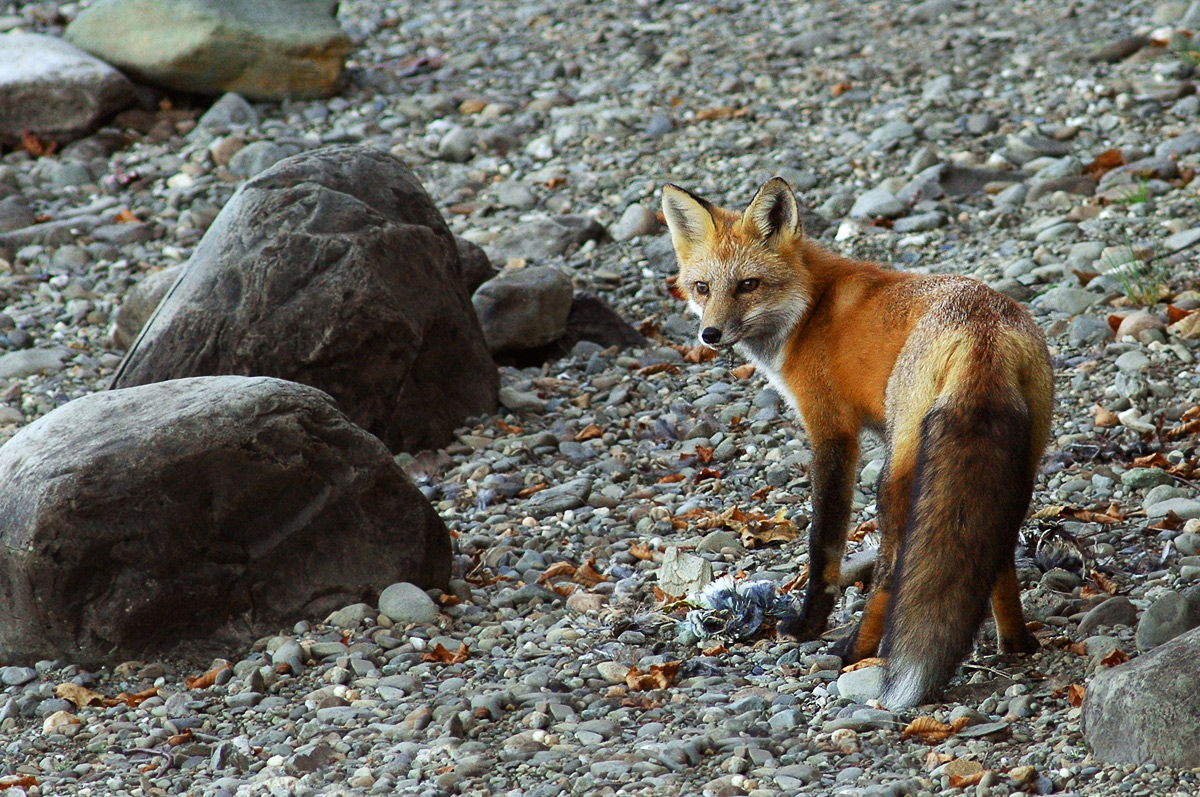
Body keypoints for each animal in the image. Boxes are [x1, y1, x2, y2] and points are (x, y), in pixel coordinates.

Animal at [661, 177, 1053, 709]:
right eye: (703, 287)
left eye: (748, 285)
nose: (710, 333)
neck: (809, 308)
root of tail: (982, 328)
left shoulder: (831, 432)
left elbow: (823, 543)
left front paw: (809, 624)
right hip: (1019, 464)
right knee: (997, 549)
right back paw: (1015, 642)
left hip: (897, 472)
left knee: (892, 570)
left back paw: (856, 651)